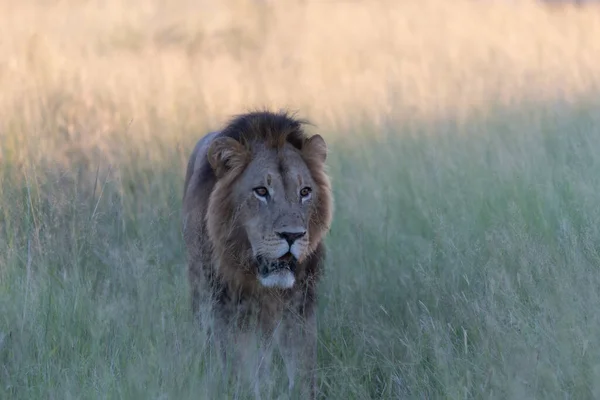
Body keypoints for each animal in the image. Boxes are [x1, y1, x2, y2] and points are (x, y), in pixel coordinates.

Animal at [180, 110, 336, 400]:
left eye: (305, 192)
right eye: (261, 191)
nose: (292, 236)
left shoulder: (300, 302)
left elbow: (303, 367)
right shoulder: (228, 303)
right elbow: (238, 364)